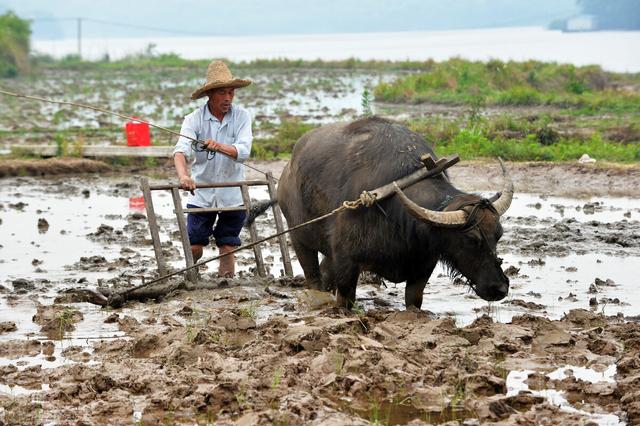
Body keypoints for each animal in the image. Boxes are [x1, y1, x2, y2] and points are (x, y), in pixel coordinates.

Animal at [272, 116, 512, 310]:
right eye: (471, 239)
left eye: (498, 235)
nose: (500, 288)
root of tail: (287, 171)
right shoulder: (346, 262)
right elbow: (345, 300)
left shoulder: (424, 265)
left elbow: (414, 300)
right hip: (299, 238)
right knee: (314, 277)